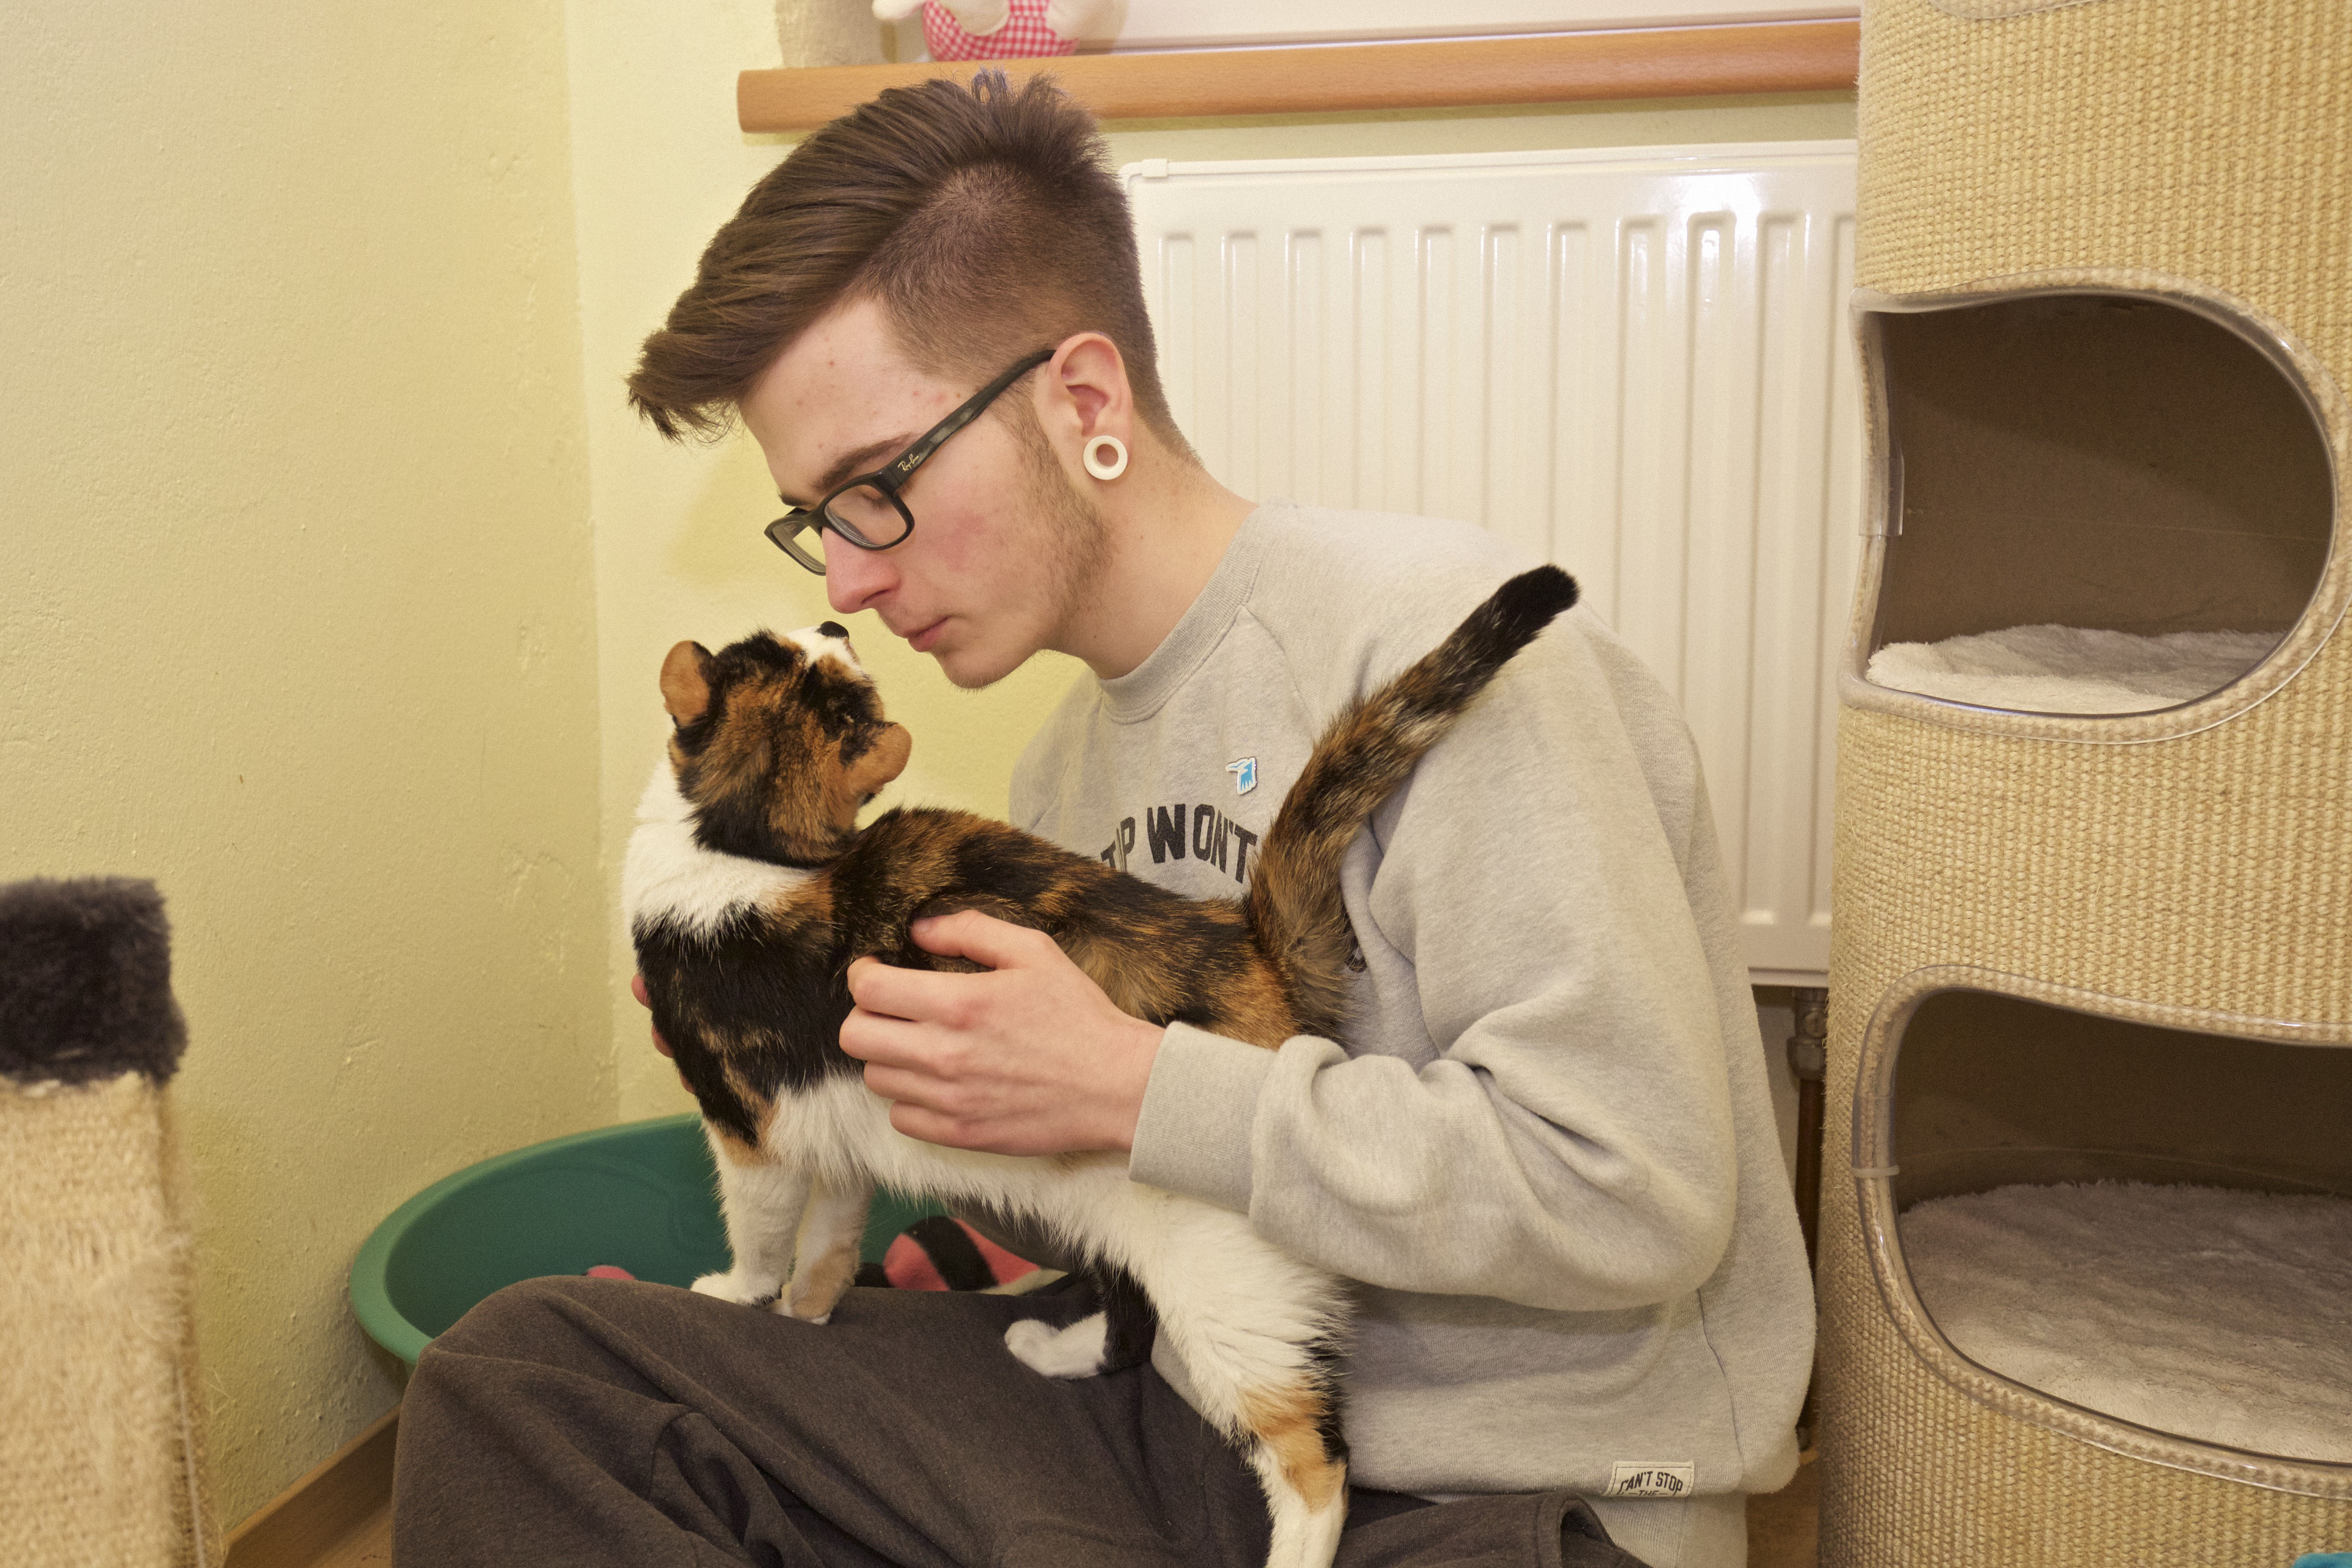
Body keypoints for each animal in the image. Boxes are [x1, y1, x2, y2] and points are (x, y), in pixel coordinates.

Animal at [624, 564, 1577, 1568]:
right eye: (785, 651)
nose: (835, 620)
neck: (747, 844)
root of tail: (1244, 944)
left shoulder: (744, 1127)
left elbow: (762, 1230)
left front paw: (737, 1295)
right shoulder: (835, 1137)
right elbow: (830, 1232)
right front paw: (809, 1309)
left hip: (1227, 1282)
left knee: (1315, 1460)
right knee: (1131, 1322)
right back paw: (1053, 1350)